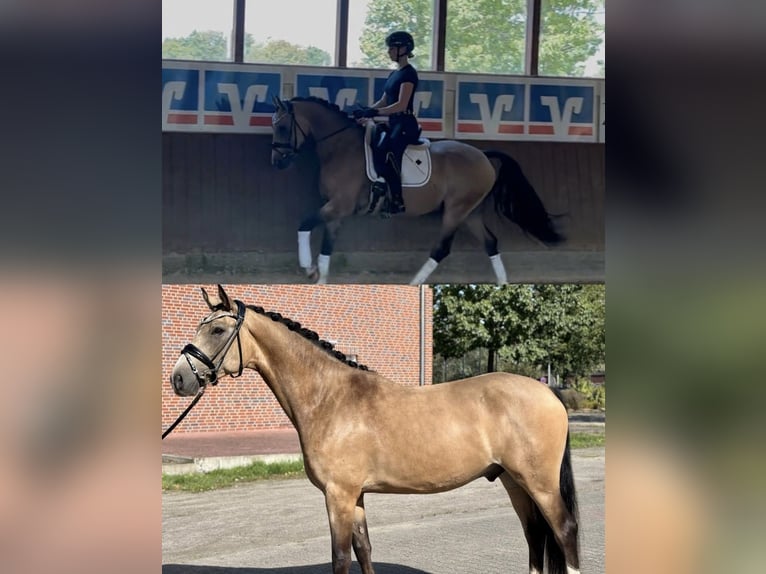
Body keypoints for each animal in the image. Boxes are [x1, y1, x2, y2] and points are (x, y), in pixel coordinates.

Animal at [170, 284, 581, 574]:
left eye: (218, 329)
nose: (178, 379)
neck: (331, 397)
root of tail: (548, 391)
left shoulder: (338, 495)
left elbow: (340, 557)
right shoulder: (356, 496)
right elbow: (363, 551)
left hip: (539, 484)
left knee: (564, 531)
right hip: (514, 481)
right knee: (534, 537)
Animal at [270, 96, 564, 285]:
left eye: (282, 127)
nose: (278, 162)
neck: (340, 147)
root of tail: (482, 155)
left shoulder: (339, 205)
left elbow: (304, 224)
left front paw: (307, 269)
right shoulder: (335, 210)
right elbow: (327, 250)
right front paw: (319, 280)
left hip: (456, 211)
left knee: (441, 249)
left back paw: (413, 284)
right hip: (471, 213)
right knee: (490, 242)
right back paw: (502, 284)